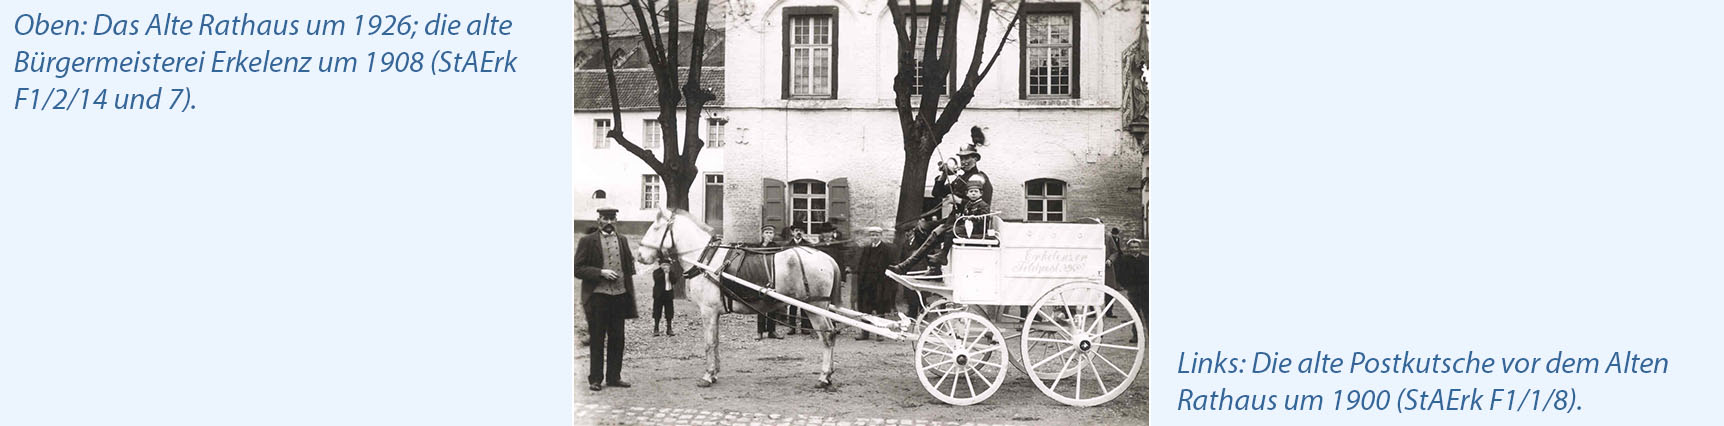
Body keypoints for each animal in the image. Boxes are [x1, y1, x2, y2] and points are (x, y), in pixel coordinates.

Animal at [637, 209, 844, 389]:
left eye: (655, 228)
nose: (639, 256)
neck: (706, 259)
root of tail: (827, 258)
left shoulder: (708, 311)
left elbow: (709, 343)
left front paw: (707, 376)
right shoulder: (715, 313)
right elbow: (716, 342)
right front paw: (715, 373)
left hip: (814, 307)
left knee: (827, 336)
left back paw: (824, 377)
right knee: (832, 333)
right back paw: (829, 374)